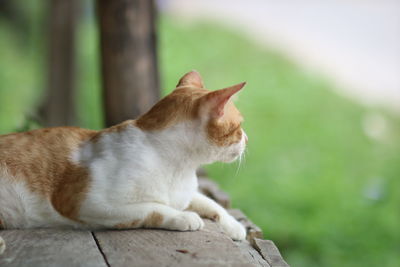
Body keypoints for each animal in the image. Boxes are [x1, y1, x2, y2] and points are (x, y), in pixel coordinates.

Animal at [0, 71, 248, 255]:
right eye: (239, 127)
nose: (247, 139)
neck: (181, 167)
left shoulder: (185, 195)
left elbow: (209, 202)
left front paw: (234, 225)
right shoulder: (86, 203)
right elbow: (154, 208)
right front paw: (183, 217)